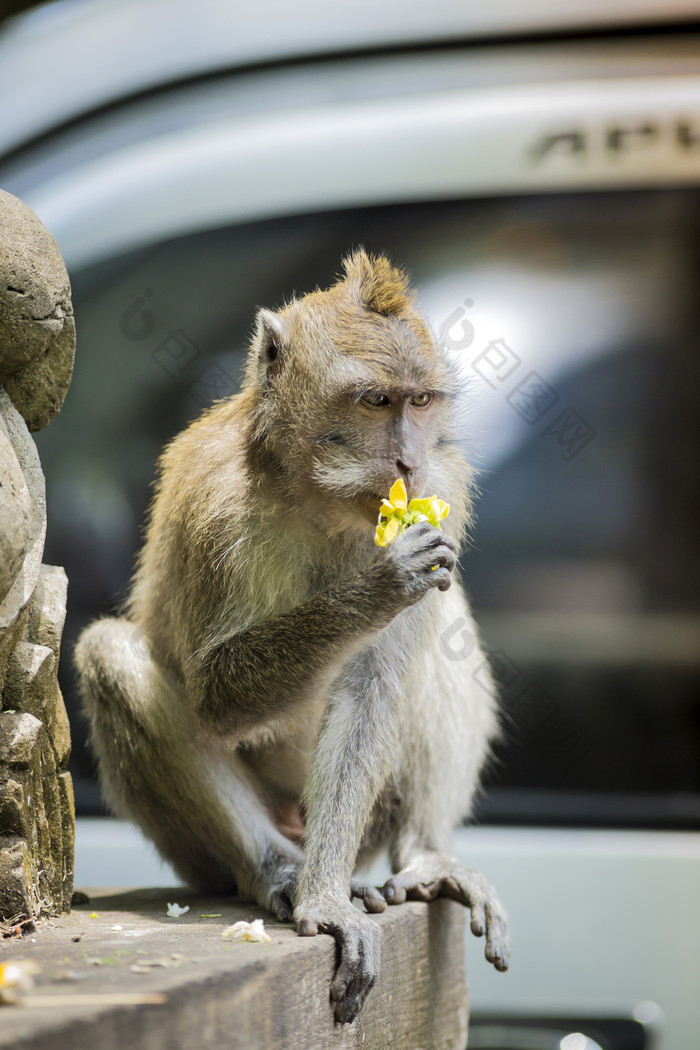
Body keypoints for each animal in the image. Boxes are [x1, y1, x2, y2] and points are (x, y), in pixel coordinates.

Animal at [75, 249, 510, 1020]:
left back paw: (420, 854)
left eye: (421, 403)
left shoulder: (446, 487)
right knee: (111, 654)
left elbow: (372, 683)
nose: (408, 462)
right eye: (376, 402)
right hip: (197, 850)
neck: (321, 494)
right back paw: (276, 871)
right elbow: (216, 700)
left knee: (448, 629)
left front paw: (327, 898)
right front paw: (378, 588)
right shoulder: (214, 507)